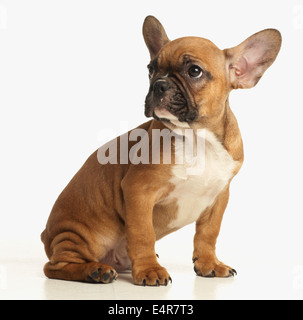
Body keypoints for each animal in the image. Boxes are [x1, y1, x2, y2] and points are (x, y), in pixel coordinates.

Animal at [41, 15, 282, 284]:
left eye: (194, 71)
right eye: (150, 69)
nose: (159, 84)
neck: (198, 139)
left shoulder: (219, 196)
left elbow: (208, 233)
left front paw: (209, 263)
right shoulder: (139, 190)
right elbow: (142, 233)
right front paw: (149, 269)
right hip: (84, 235)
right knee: (55, 266)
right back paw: (95, 271)